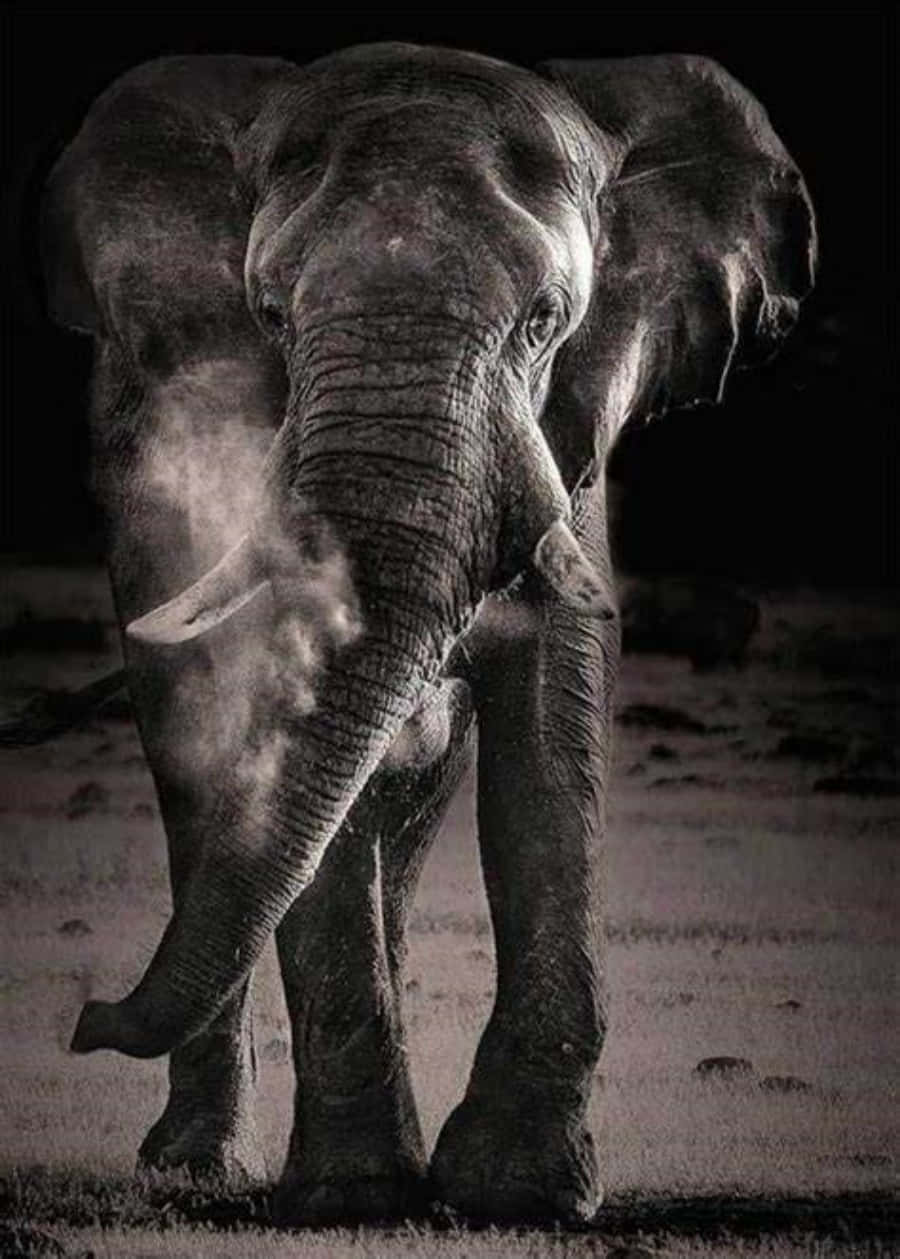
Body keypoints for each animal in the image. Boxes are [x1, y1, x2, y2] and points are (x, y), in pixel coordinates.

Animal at [40, 42, 815, 1225]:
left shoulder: (567, 436)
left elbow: (558, 708)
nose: (86, 1018)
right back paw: (195, 1166)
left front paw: (521, 1193)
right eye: (270, 315)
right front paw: (354, 1197)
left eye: (546, 318)